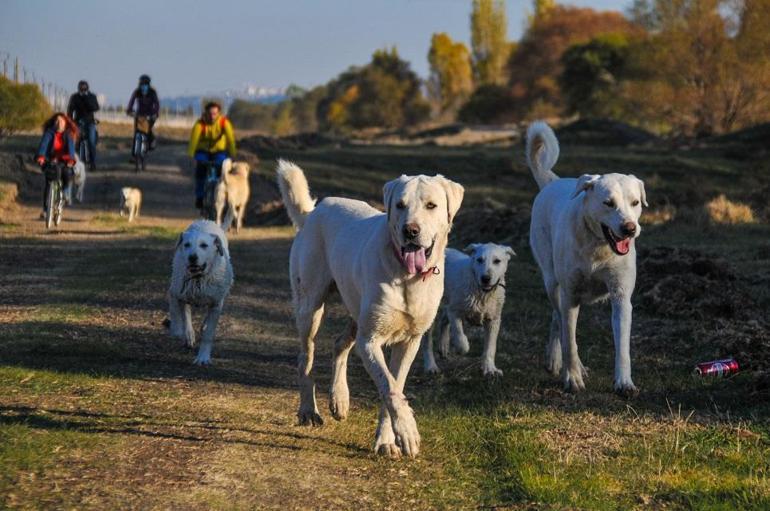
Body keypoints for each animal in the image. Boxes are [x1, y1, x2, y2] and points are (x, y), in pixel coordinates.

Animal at [170, 222, 234, 366]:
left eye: (204, 245)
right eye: (187, 244)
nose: (192, 257)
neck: (198, 279)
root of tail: (205, 221)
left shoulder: (216, 304)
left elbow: (208, 333)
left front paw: (203, 357)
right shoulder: (180, 294)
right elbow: (184, 316)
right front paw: (188, 335)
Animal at [420, 242, 516, 378]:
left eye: (497, 261)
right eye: (479, 260)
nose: (485, 278)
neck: (482, 292)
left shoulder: (494, 320)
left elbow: (491, 347)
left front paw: (490, 368)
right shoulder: (455, 311)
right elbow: (459, 335)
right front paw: (462, 348)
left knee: (443, 319)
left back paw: (443, 347)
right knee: (428, 340)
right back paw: (430, 366)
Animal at [524, 121, 644, 396]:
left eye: (635, 202)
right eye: (608, 203)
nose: (630, 229)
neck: (598, 247)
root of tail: (552, 181)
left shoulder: (621, 297)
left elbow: (622, 348)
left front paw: (624, 382)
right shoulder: (570, 295)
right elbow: (570, 341)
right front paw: (572, 378)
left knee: (558, 320)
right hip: (552, 282)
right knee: (559, 321)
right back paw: (561, 361)